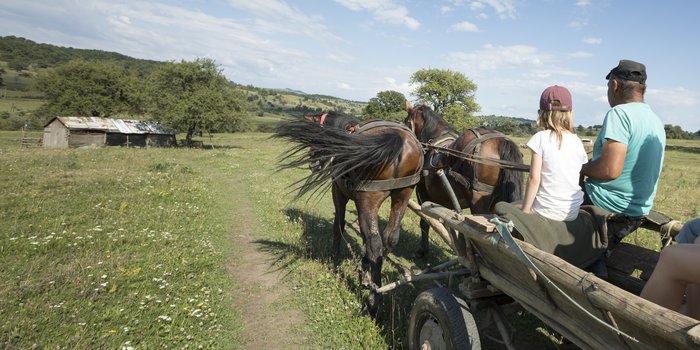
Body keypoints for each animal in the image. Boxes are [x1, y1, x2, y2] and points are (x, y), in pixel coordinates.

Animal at [274, 112, 424, 318]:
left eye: (317, 139)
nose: (313, 164)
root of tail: (399, 140)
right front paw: (363, 265)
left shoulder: (338, 192)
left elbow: (339, 225)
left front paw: (335, 258)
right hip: (403, 194)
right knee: (389, 238)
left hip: (368, 199)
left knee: (375, 243)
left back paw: (373, 302)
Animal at [402, 104, 524, 258]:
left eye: (406, 122)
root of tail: (501, 141)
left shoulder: (422, 192)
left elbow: (425, 220)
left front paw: (423, 250)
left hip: (478, 202)